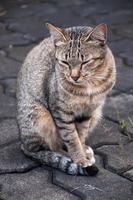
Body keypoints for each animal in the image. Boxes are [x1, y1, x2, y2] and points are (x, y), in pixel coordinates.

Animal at [16, 23, 116, 175]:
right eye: (65, 62)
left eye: (85, 62)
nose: (74, 76)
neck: (89, 86)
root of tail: (23, 143)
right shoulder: (60, 111)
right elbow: (71, 138)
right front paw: (79, 159)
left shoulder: (87, 111)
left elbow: (80, 134)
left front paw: (82, 150)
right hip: (40, 117)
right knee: (47, 148)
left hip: (96, 114)